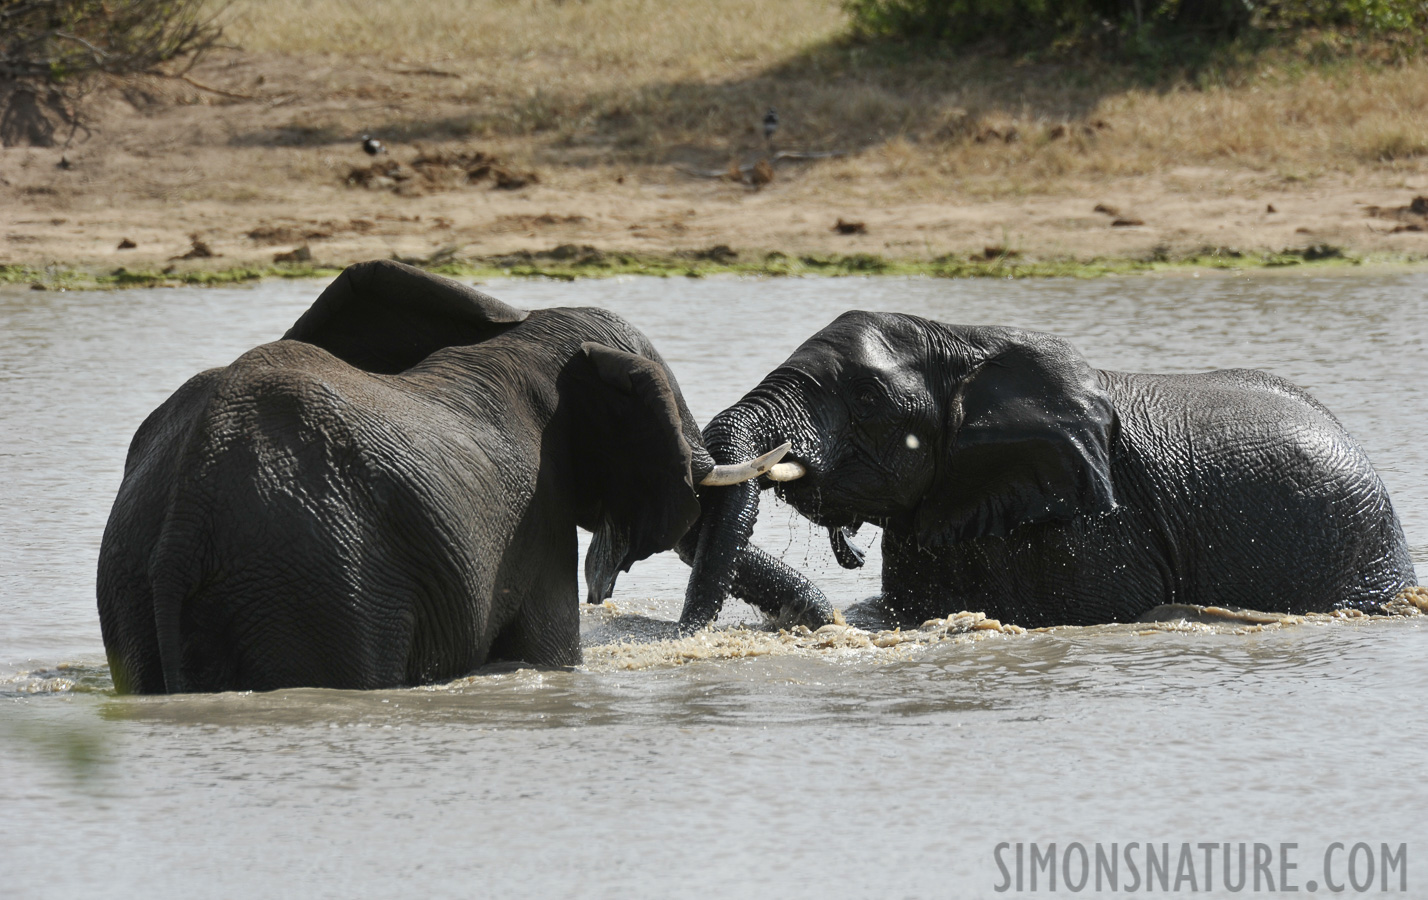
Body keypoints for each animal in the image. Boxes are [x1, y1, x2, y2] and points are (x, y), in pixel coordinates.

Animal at [96, 261, 805, 697]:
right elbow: (552, 651)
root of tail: (188, 513)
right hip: (316, 581)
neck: (526, 338)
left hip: (137, 577)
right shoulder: (538, 517)